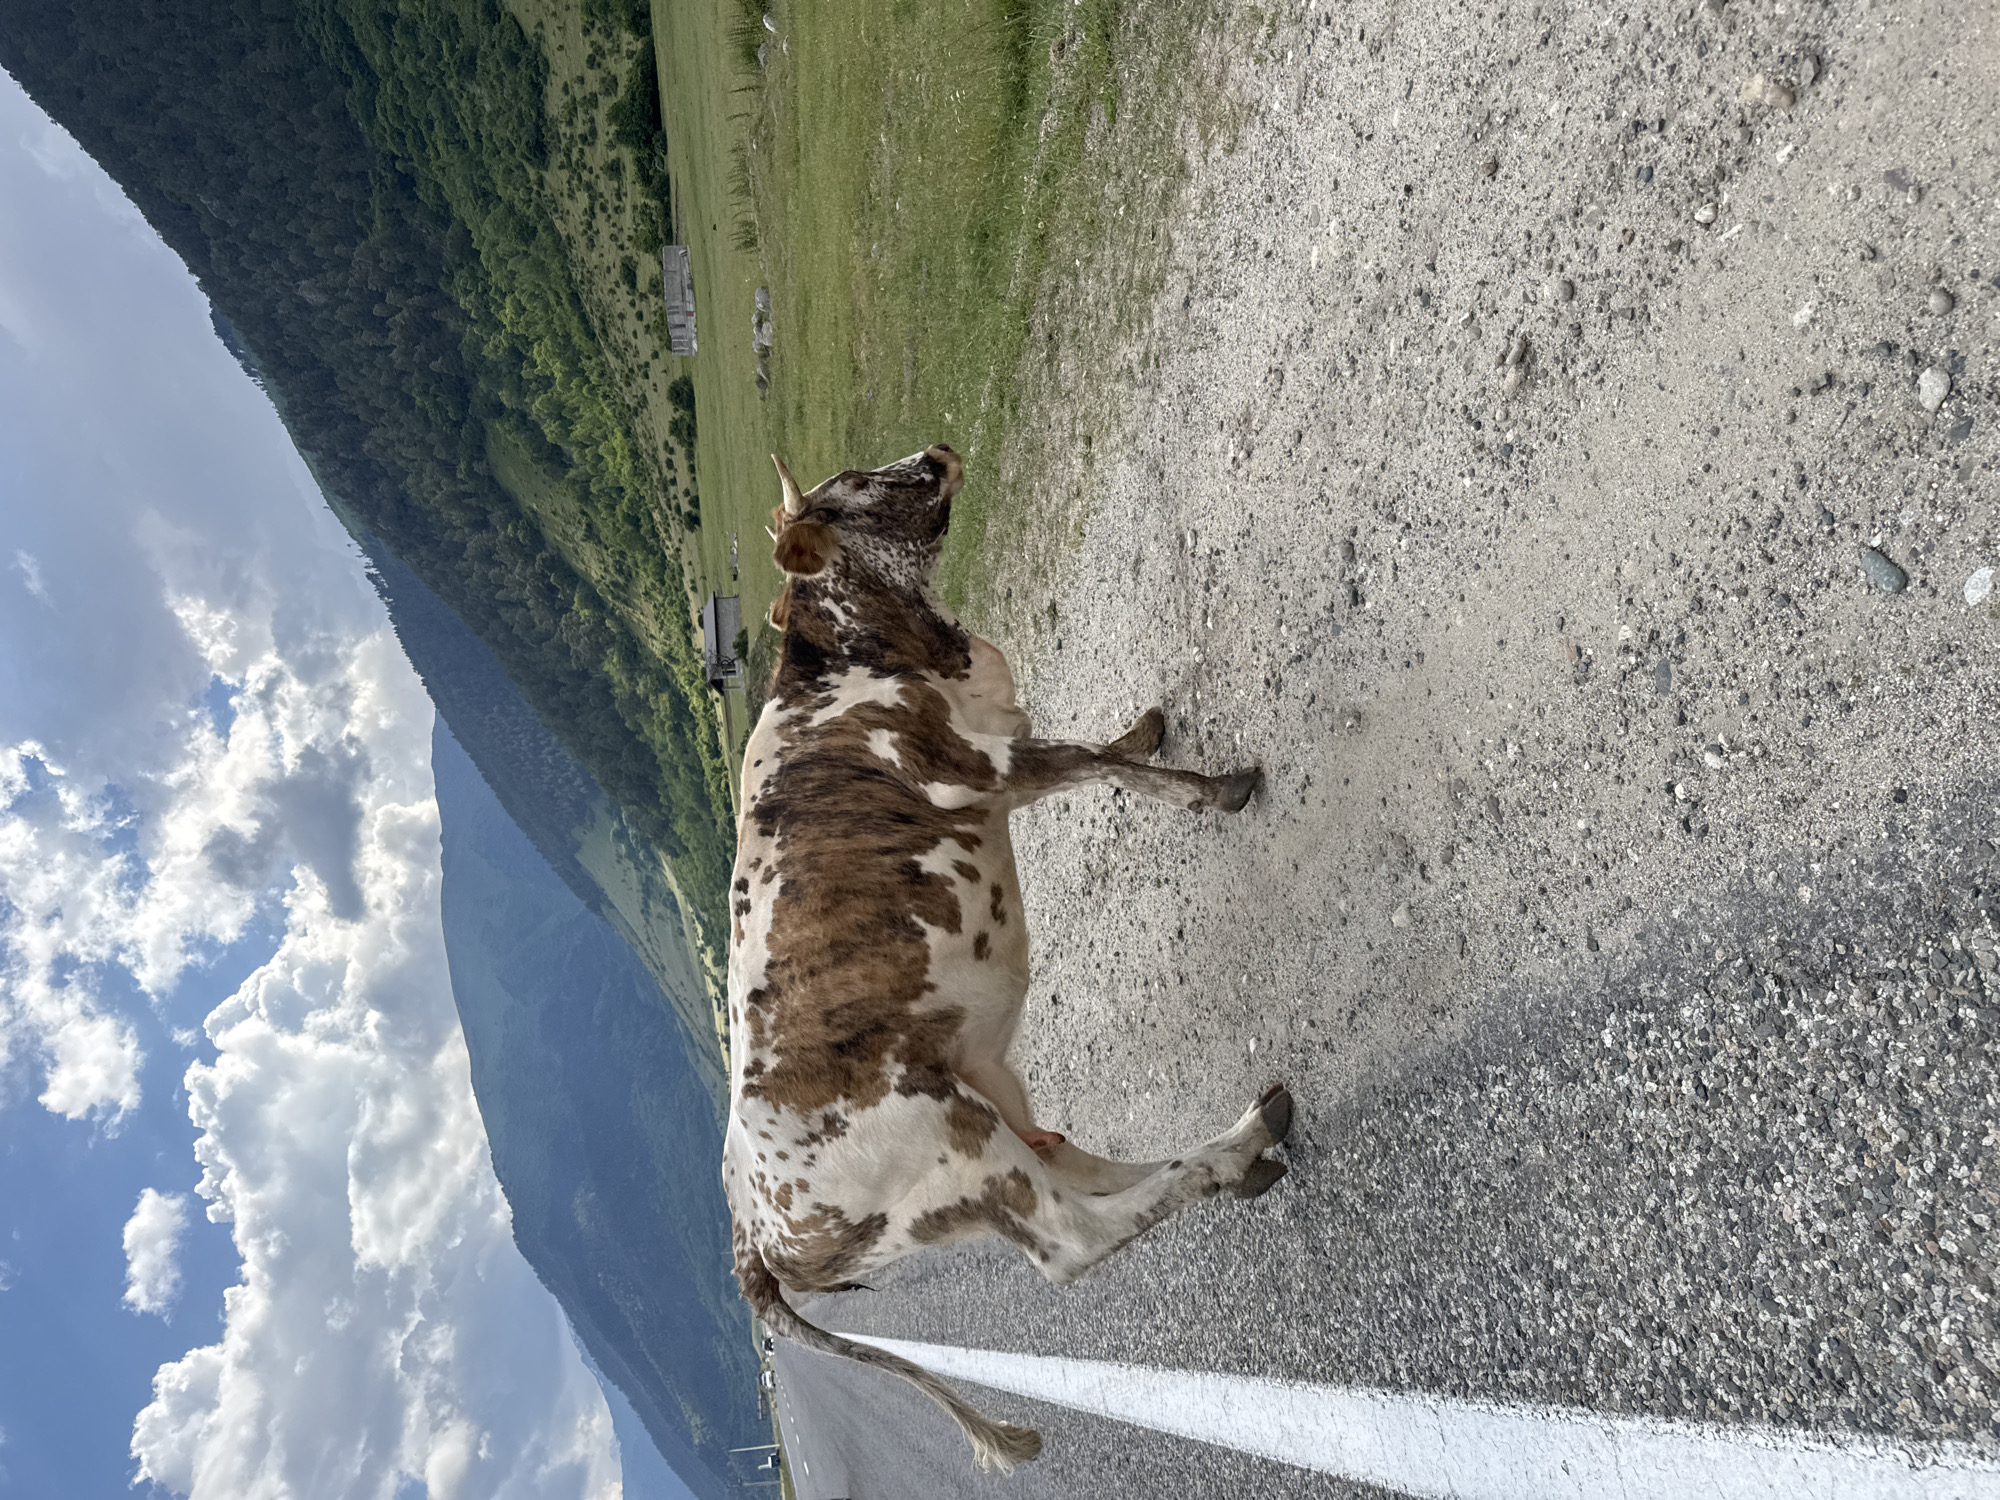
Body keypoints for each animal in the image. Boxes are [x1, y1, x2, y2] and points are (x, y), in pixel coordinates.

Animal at [723, 442, 1293, 1471]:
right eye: (855, 488)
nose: (935, 454)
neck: (894, 653)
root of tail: (749, 1226)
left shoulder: (1001, 746)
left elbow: (1104, 753)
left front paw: (1150, 732)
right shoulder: (976, 768)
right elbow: (1106, 769)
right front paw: (1215, 788)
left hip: (983, 1098)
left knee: (1085, 1172)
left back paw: (1224, 1160)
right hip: (950, 1143)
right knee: (1073, 1235)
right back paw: (1237, 1145)